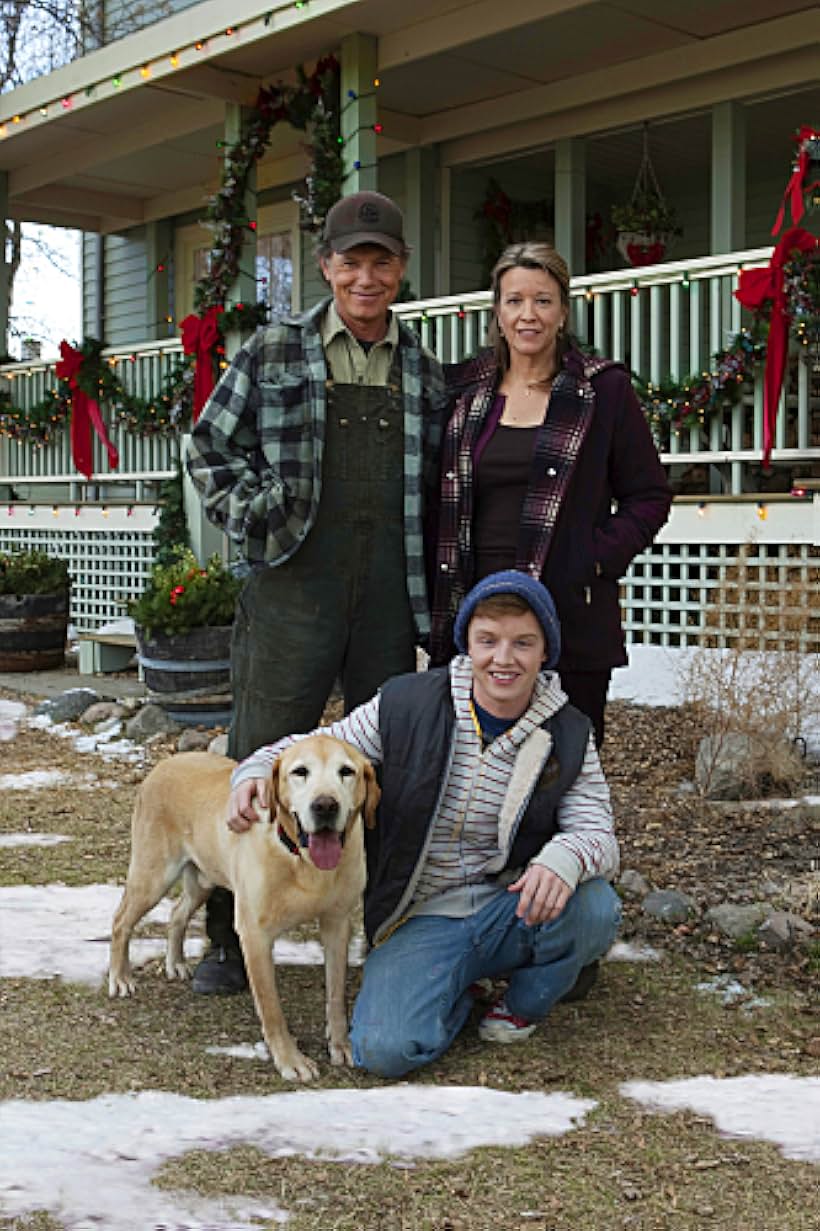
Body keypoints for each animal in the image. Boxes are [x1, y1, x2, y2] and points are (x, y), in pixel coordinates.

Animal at [107, 733, 379, 1083]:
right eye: (300, 772)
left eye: (346, 771)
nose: (325, 806)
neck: (301, 859)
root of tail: (165, 763)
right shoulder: (255, 935)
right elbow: (272, 1009)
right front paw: (290, 1060)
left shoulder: (338, 924)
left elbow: (335, 995)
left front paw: (340, 1043)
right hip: (152, 878)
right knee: (120, 921)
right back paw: (120, 977)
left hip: (204, 878)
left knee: (177, 913)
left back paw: (175, 962)